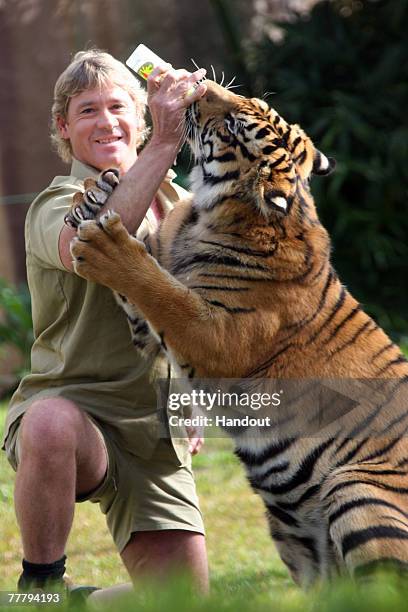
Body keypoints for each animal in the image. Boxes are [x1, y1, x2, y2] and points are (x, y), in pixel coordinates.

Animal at [67, 81, 408, 588]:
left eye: (230, 124)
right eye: (254, 104)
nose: (199, 87)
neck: (211, 211)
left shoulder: (215, 340)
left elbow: (161, 291)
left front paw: (105, 245)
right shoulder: (146, 326)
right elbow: (145, 274)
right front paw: (95, 194)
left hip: (357, 489)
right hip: (296, 537)